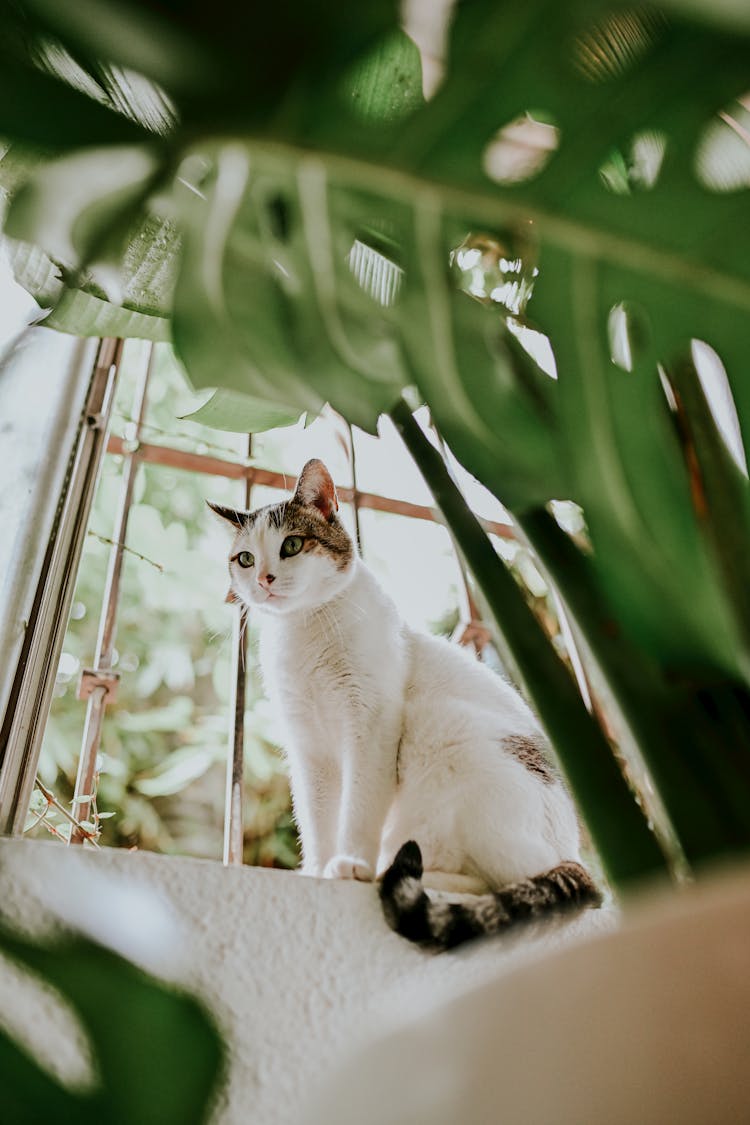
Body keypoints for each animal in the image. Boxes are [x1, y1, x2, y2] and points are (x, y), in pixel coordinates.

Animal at [208, 456, 602, 949]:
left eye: (292, 545)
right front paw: (317, 869)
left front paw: (350, 863)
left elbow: (358, 807)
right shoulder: (308, 748)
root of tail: (573, 850)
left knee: (504, 879)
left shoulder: (372, 724)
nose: (263, 579)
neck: (305, 631)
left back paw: (386, 872)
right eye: (245, 559)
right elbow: (316, 818)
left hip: (447, 732)